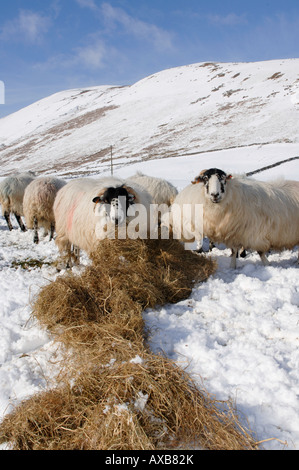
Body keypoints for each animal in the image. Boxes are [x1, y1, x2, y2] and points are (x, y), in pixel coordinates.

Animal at [168, 167, 299, 266]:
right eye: (205, 178)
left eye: (223, 178)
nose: (215, 195)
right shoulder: (234, 233)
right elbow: (233, 251)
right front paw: (233, 266)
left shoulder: (254, 232)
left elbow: (260, 252)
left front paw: (267, 264)